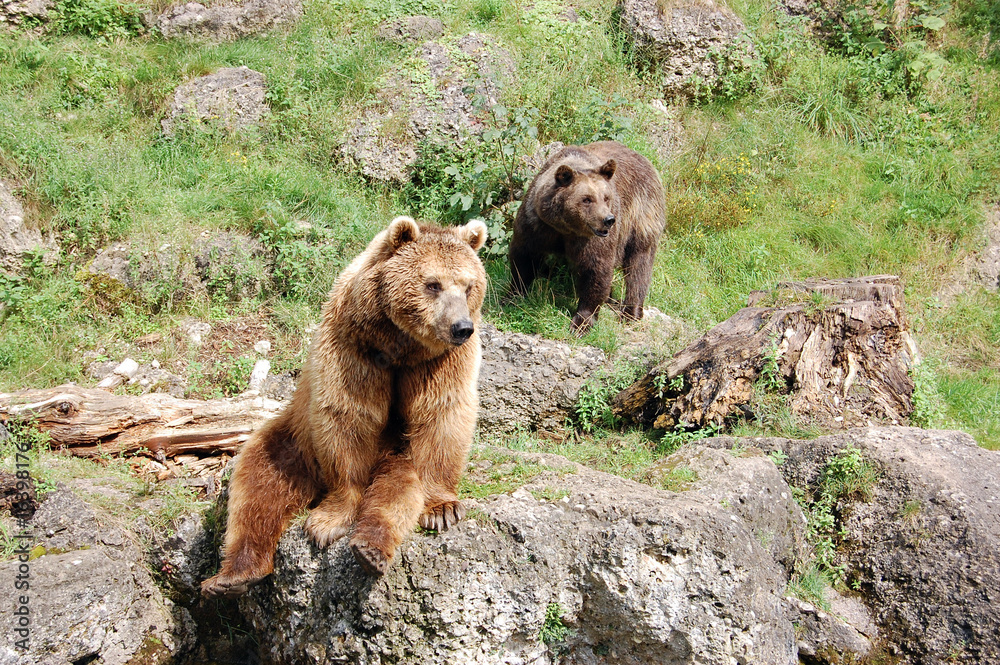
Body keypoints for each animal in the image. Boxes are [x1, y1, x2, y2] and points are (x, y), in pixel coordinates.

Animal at [201, 216, 488, 598]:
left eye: (469, 286)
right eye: (433, 284)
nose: (461, 327)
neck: (401, 346)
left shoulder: (441, 363)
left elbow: (442, 416)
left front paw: (442, 509)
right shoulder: (353, 347)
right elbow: (346, 419)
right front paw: (328, 521)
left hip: (397, 455)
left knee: (395, 491)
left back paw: (369, 549)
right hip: (293, 440)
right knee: (257, 483)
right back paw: (233, 576)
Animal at [508, 140, 666, 335]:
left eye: (606, 197)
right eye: (587, 199)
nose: (608, 220)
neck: (565, 228)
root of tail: (644, 158)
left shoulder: (592, 240)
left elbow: (596, 269)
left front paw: (581, 322)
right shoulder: (536, 224)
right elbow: (524, 257)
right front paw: (514, 294)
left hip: (641, 212)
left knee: (639, 263)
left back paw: (631, 311)